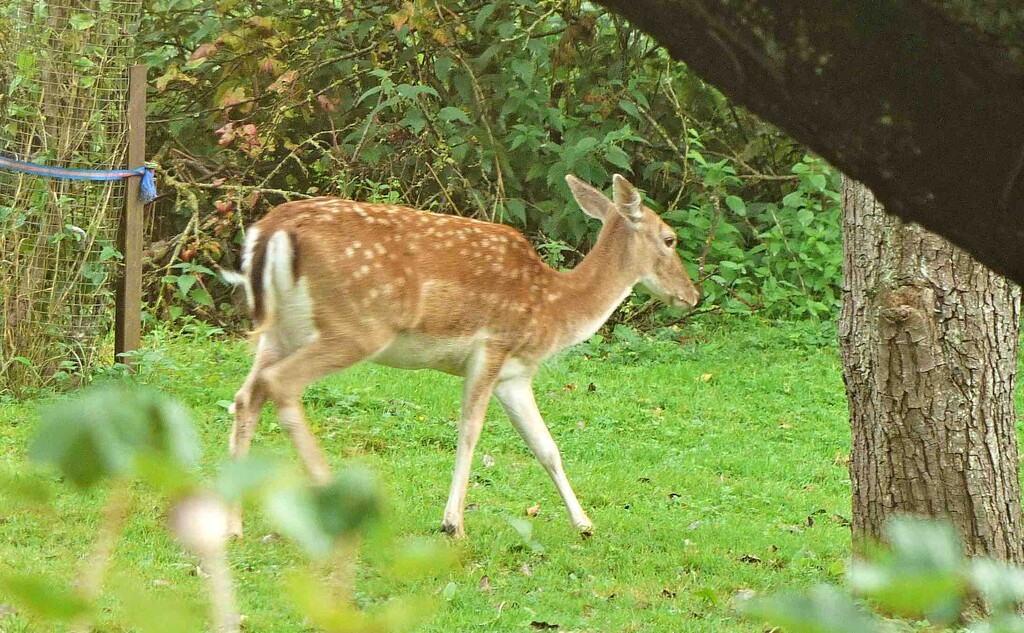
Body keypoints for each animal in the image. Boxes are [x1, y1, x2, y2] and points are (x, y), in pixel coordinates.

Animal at [225, 174, 700, 536]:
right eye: (670, 239)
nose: (692, 295)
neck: (553, 307)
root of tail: (272, 231)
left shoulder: (515, 375)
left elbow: (546, 446)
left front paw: (583, 524)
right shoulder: (492, 346)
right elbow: (470, 431)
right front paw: (453, 523)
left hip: (280, 331)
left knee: (247, 396)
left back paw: (233, 525)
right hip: (355, 326)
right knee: (280, 385)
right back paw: (329, 495)